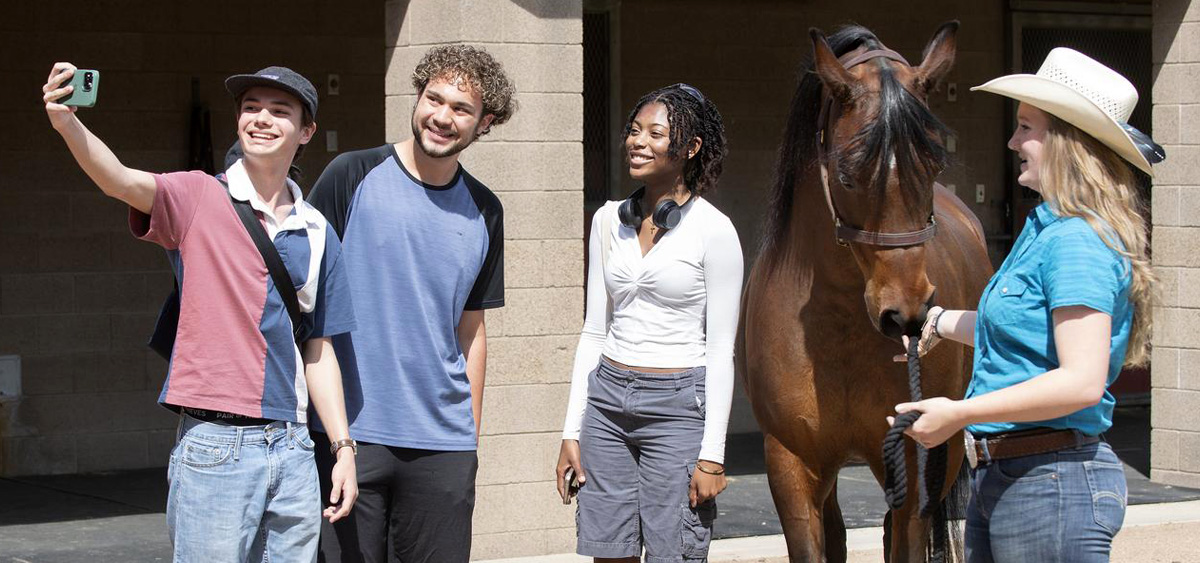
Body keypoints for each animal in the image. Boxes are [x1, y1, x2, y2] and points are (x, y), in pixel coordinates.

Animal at [739, 19, 993, 559]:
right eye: (847, 174)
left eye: (933, 167)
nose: (907, 315)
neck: (838, 323)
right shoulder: (792, 464)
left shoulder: (917, 460)